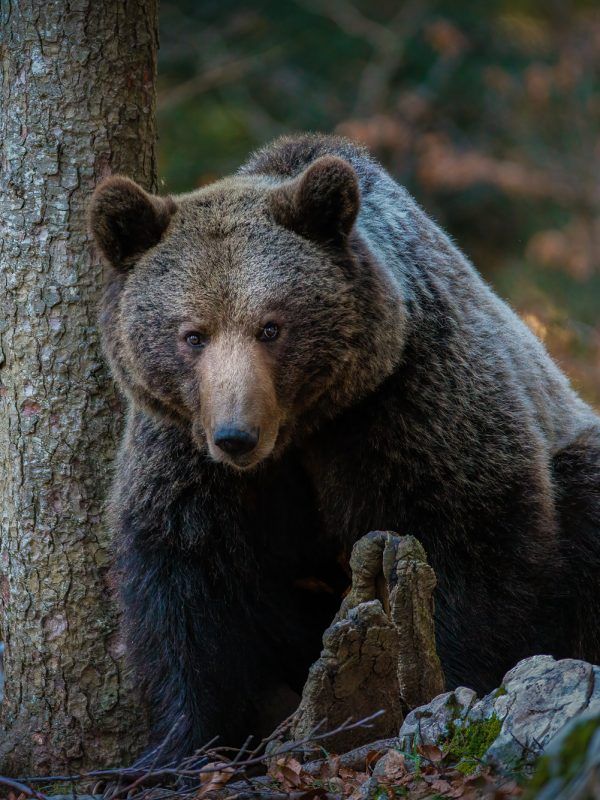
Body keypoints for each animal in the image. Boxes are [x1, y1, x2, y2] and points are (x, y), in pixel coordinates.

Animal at [89, 133, 600, 764]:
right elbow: (187, 582)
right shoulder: (187, 455)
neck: (300, 430)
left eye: (271, 326)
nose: (236, 436)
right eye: (192, 335)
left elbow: (466, 544)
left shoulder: (408, 404)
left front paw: (440, 687)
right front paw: (177, 745)